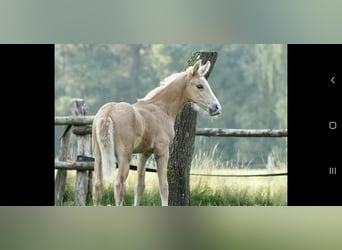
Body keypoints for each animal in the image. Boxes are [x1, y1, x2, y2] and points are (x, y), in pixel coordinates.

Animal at [92, 60, 222, 205]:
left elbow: (140, 186)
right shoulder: (162, 152)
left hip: (98, 156)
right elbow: (164, 186)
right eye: (200, 86)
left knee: (98, 186)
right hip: (124, 157)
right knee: (118, 185)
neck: (161, 108)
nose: (216, 107)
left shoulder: (144, 153)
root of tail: (107, 114)